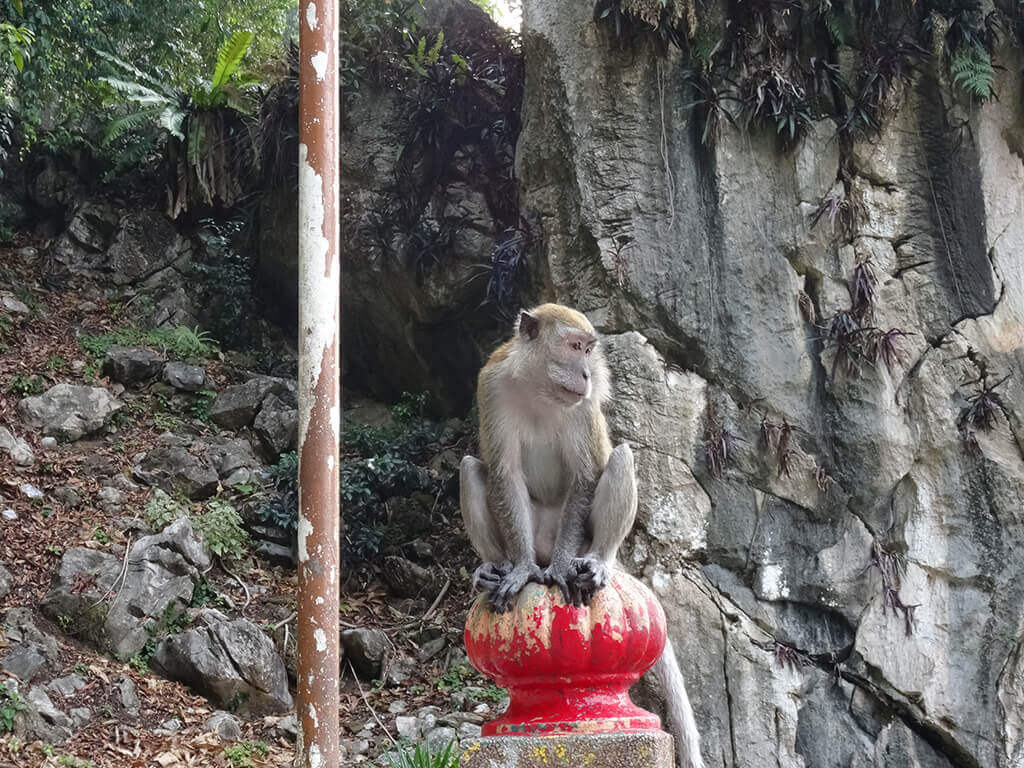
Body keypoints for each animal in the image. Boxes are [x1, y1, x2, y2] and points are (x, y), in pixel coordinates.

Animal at [462, 305, 704, 768]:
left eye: (589, 350)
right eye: (574, 346)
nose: (588, 374)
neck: (541, 389)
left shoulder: (583, 406)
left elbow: (586, 473)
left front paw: (559, 569)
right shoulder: (491, 385)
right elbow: (503, 473)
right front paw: (519, 570)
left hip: (576, 538)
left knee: (620, 457)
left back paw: (595, 562)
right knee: (471, 467)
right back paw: (494, 570)